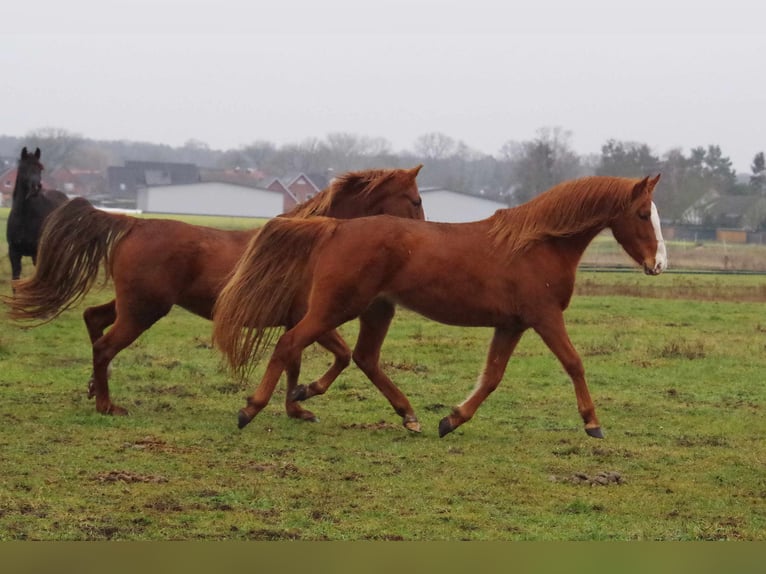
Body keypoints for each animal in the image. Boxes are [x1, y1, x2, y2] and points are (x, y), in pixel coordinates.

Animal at [6, 147, 68, 282]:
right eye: (23, 167)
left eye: (40, 168)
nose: (36, 187)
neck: (24, 217)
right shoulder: (14, 253)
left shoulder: (36, 253)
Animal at [7, 165, 424, 418]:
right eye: (416, 200)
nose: (425, 236)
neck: (317, 239)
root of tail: (131, 224)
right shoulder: (314, 317)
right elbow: (336, 356)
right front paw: (303, 396)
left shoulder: (299, 319)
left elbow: (295, 361)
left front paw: (296, 407)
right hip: (143, 311)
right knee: (105, 347)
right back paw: (108, 405)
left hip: (133, 305)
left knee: (93, 319)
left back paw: (95, 389)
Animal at [212, 175, 667, 438]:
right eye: (643, 214)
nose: (658, 264)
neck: (537, 243)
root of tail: (335, 226)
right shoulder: (545, 317)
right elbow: (574, 363)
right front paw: (593, 423)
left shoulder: (512, 325)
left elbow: (492, 377)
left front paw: (451, 419)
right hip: (335, 308)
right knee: (291, 343)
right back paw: (252, 409)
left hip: (376, 310)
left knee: (364, 358)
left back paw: (404, 414)